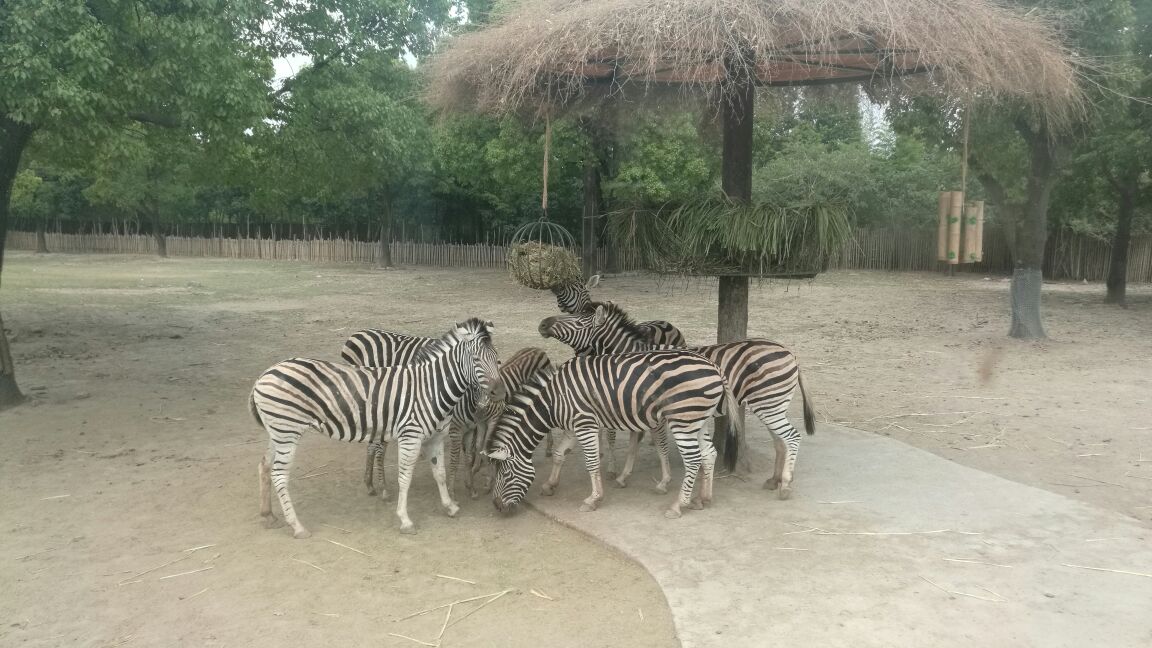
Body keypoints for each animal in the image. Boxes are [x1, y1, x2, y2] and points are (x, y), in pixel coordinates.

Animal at [249, 318, 502, 535]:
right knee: (279, 474)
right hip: (288, 431)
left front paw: (449, 506)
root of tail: (264, 375)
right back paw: (297, 526)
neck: (431, 387)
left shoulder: (436, 437)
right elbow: (405, 477)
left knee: (264, 465)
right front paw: (405, 520)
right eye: (477, 360)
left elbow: (439, 472)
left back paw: (268, 515)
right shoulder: (411, 435)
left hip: (278, 432)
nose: (499, 393)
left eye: (497, 358)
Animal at [481, 350, 741, 516]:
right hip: (700, 420)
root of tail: (714, 367)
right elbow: (558, 454)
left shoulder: (585, 424)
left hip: (683, 420)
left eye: (505, 474)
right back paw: (702, 499)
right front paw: (550, 485)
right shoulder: (573, 426)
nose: (497, 507)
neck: (553, 401)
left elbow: (592, 463)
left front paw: (593, 499)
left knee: (694, 460)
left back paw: (679, 505)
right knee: (709, 454)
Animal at [539, 299, 820, 495]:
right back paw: (774, 480)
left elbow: (656, 444)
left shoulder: (652, 411)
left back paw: (785, 484)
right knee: (781, 441)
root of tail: (790, 352)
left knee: (791, 438)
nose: (542, 324)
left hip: (769, 404)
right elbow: (634, 442)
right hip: (772, 405)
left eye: (578, 320)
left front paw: (661, 481)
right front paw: (624, 476)